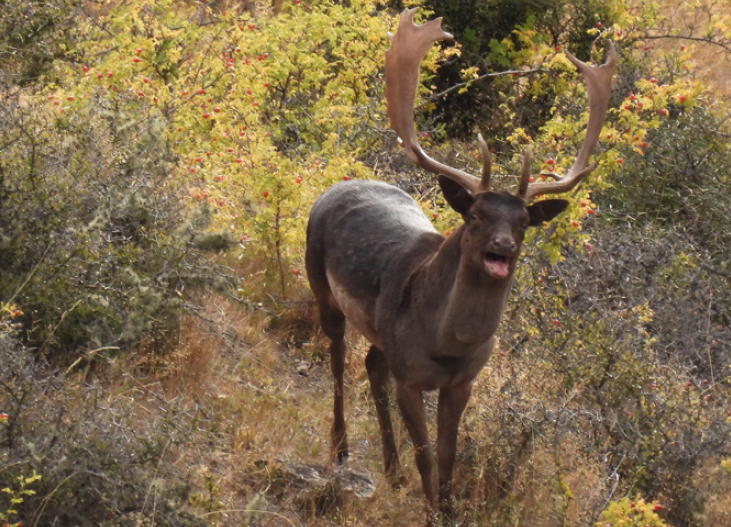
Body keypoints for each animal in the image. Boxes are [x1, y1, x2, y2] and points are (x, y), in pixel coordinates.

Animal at [305, 7, 616, 523]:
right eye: (475, 215)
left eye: (524, 222)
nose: (503, 247)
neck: (445, 342)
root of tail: (342, 183)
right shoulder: (410, 376)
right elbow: (427, 451)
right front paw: (431, 510)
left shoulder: (463, 381)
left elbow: (449, 452)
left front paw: (447, 508)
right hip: (321, 286)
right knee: (336, 361)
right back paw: (342, 449)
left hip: (379, 335)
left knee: (371, 364)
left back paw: (390, 469)